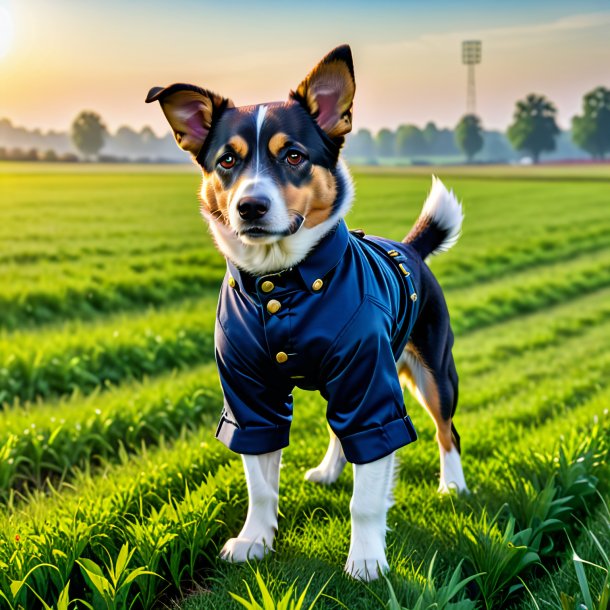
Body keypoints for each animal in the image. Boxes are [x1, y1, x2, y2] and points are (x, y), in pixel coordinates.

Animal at [146, 44, 466, 580]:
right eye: (227, 160)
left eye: (293, 155)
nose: (251, 206)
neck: (281, 282)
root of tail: (410, 247)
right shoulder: (249, 396)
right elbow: (259, 483)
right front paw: (254, 540)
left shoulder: (370, 385)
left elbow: (368, 492)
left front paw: (366, 559)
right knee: (343, 432)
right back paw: (331, 470)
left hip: (433, 372)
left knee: (447, 431)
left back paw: (454, 486)